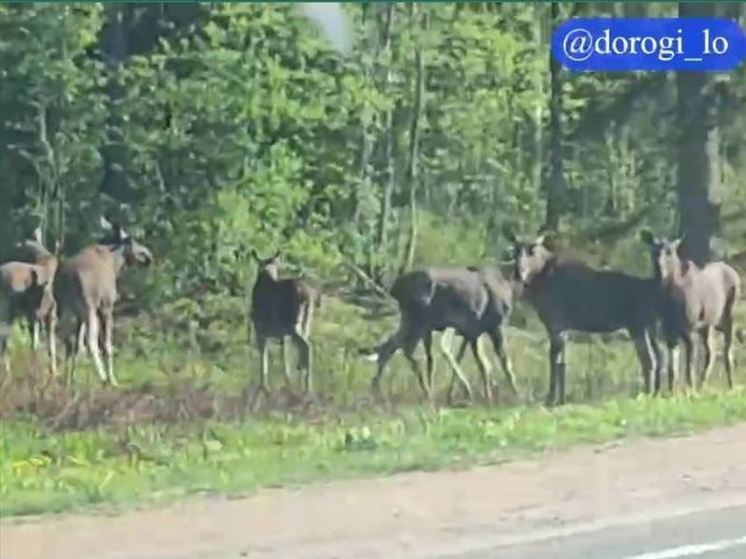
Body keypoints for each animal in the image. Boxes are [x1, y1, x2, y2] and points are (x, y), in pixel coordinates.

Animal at [53, 218, 153, 384]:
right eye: (133, 240)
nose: (148, 256)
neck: (115, 263)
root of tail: (65, 277)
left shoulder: (79, 316)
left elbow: (76, 346)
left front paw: (71, 379)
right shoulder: (106, 306)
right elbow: (106, 345)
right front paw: (111, 378)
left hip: (65, 309)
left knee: (65, 340)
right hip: (88, 308)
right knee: (90, 341)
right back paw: (103, 377)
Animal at [248, 249, 316, 398]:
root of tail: (307, 296)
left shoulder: (260, 329)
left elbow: (263, 357)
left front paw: (264, 387)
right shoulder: (283, 336)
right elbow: (285, 358)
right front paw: (287, 384)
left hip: (293, 323)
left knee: (306, 346)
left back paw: (308, 389)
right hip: (306, 323)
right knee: (304, 347)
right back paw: (302, 382)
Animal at [362, 264, 516, 404]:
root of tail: (395, 287)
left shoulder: (472, 332)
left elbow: (476, 359)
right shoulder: (485, 328)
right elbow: (498, 362)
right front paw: (510, 394)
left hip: (416, 322)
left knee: (393, 347)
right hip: (425, 321)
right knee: (417, 348)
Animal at [502, 232, 660, 406]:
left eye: (532, 250)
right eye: (515, 251)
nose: (518, 273)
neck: (538, 281)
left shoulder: (555, 324)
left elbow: (554, 361)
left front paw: (550, 400)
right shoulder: (562, 328)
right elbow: (562, 364)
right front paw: (561, 400)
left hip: (637, 327)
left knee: (649, 359)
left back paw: (647, 394)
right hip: (647, 329)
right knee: (657, 358)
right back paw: (655, 393)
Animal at [640, 230, 740, 392]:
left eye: (670, 252)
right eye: (654, 251)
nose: (659, 269)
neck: (669, 297)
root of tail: (734, 272)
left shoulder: (689, 329)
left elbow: (689, 367)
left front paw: (690, 391)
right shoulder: (669, 331)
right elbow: (672, 369)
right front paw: (671, 392)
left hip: (728, 315)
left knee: (726, 350)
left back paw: (730, 386)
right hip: (708, 325)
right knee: (711, 352)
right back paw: (702, 384)